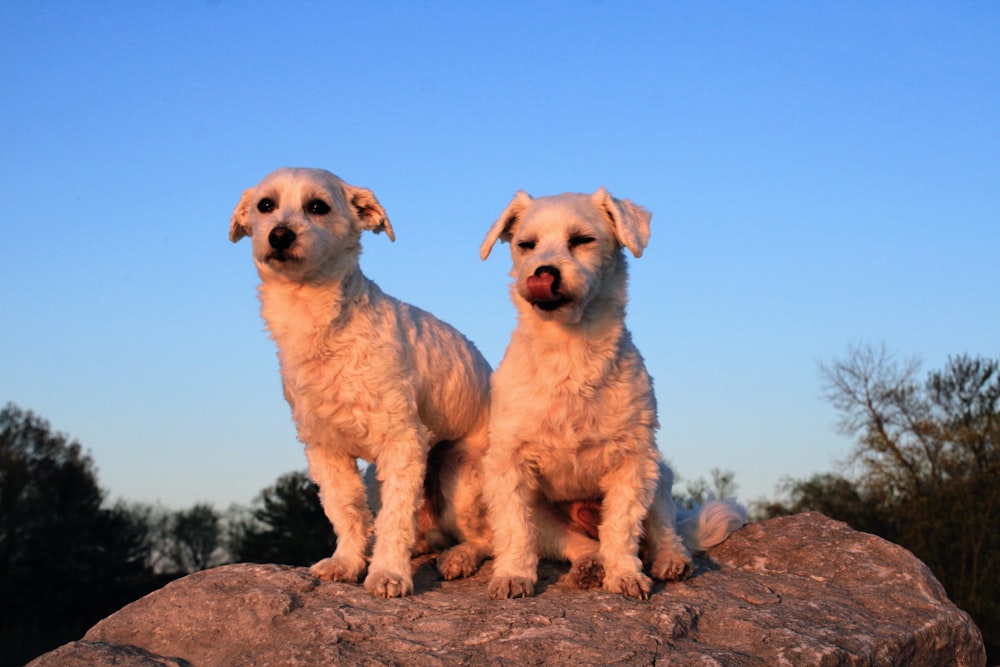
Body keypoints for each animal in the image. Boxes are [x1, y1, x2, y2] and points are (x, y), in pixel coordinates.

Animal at [228, 168, 492, 600]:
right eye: (266, 205)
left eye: (317, 206)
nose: (280, 235)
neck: (323, 326)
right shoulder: (325, 448)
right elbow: (346, 511)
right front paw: (347, 563)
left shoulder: (402, 441)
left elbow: (394, 519)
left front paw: (388, 573)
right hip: (375, 479)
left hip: (461, 477)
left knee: (487, 537)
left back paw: (460, 557)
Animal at [480, 188, 748, 600]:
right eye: (526, 245)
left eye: (582, 239)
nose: (543, 273)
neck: (570, 352)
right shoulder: (509, 463)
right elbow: (514, 529)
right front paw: (512, 575)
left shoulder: (632, 460)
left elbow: (622, 528)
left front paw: (624, 575)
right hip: (548, 515)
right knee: (579, 543)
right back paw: (589, 565)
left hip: (660, 476)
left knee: (662, 528)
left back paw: (671, 560)